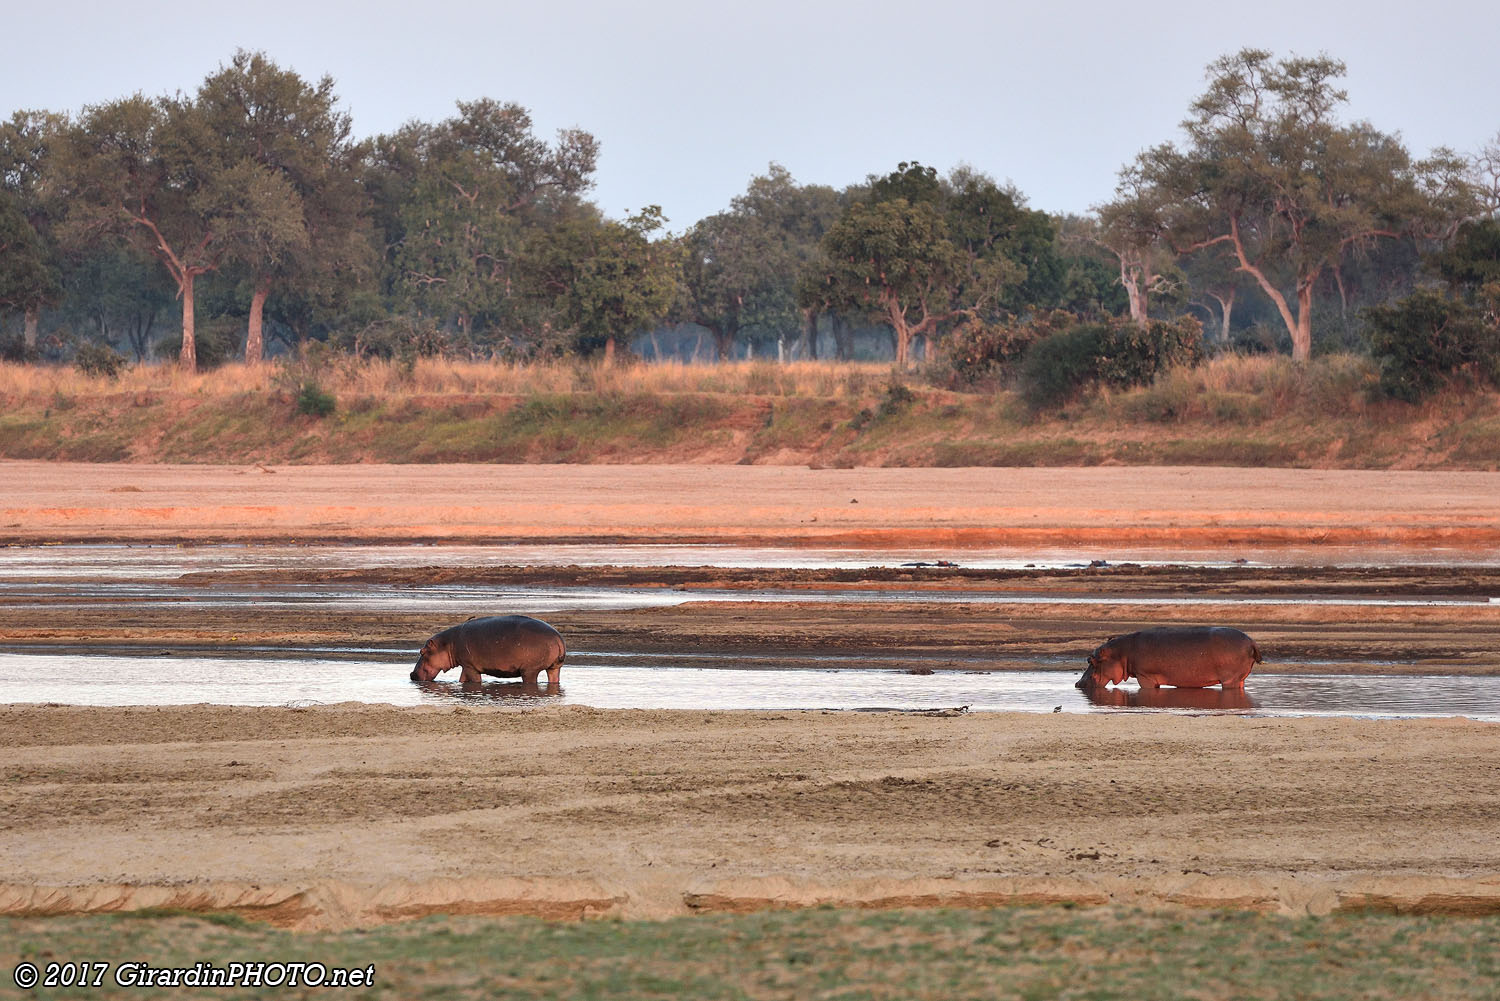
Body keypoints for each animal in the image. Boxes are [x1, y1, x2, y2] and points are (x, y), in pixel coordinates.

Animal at [414, 612, 564, 690]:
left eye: (422, 652)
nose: (411, 674)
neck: (447, 644)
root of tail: (558, 638)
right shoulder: (465, 666)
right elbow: (462, 679)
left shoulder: (470, 667)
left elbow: (474, 680)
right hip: (554, 668)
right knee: (554, 678)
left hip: (529, 670)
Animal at [1074, 627, 1260, 690]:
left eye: (1090, 660)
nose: (1077, 683)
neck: (1121, 653)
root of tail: (1251, 641)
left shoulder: (1145, 677)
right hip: (1239, 679)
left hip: (1230, 679)